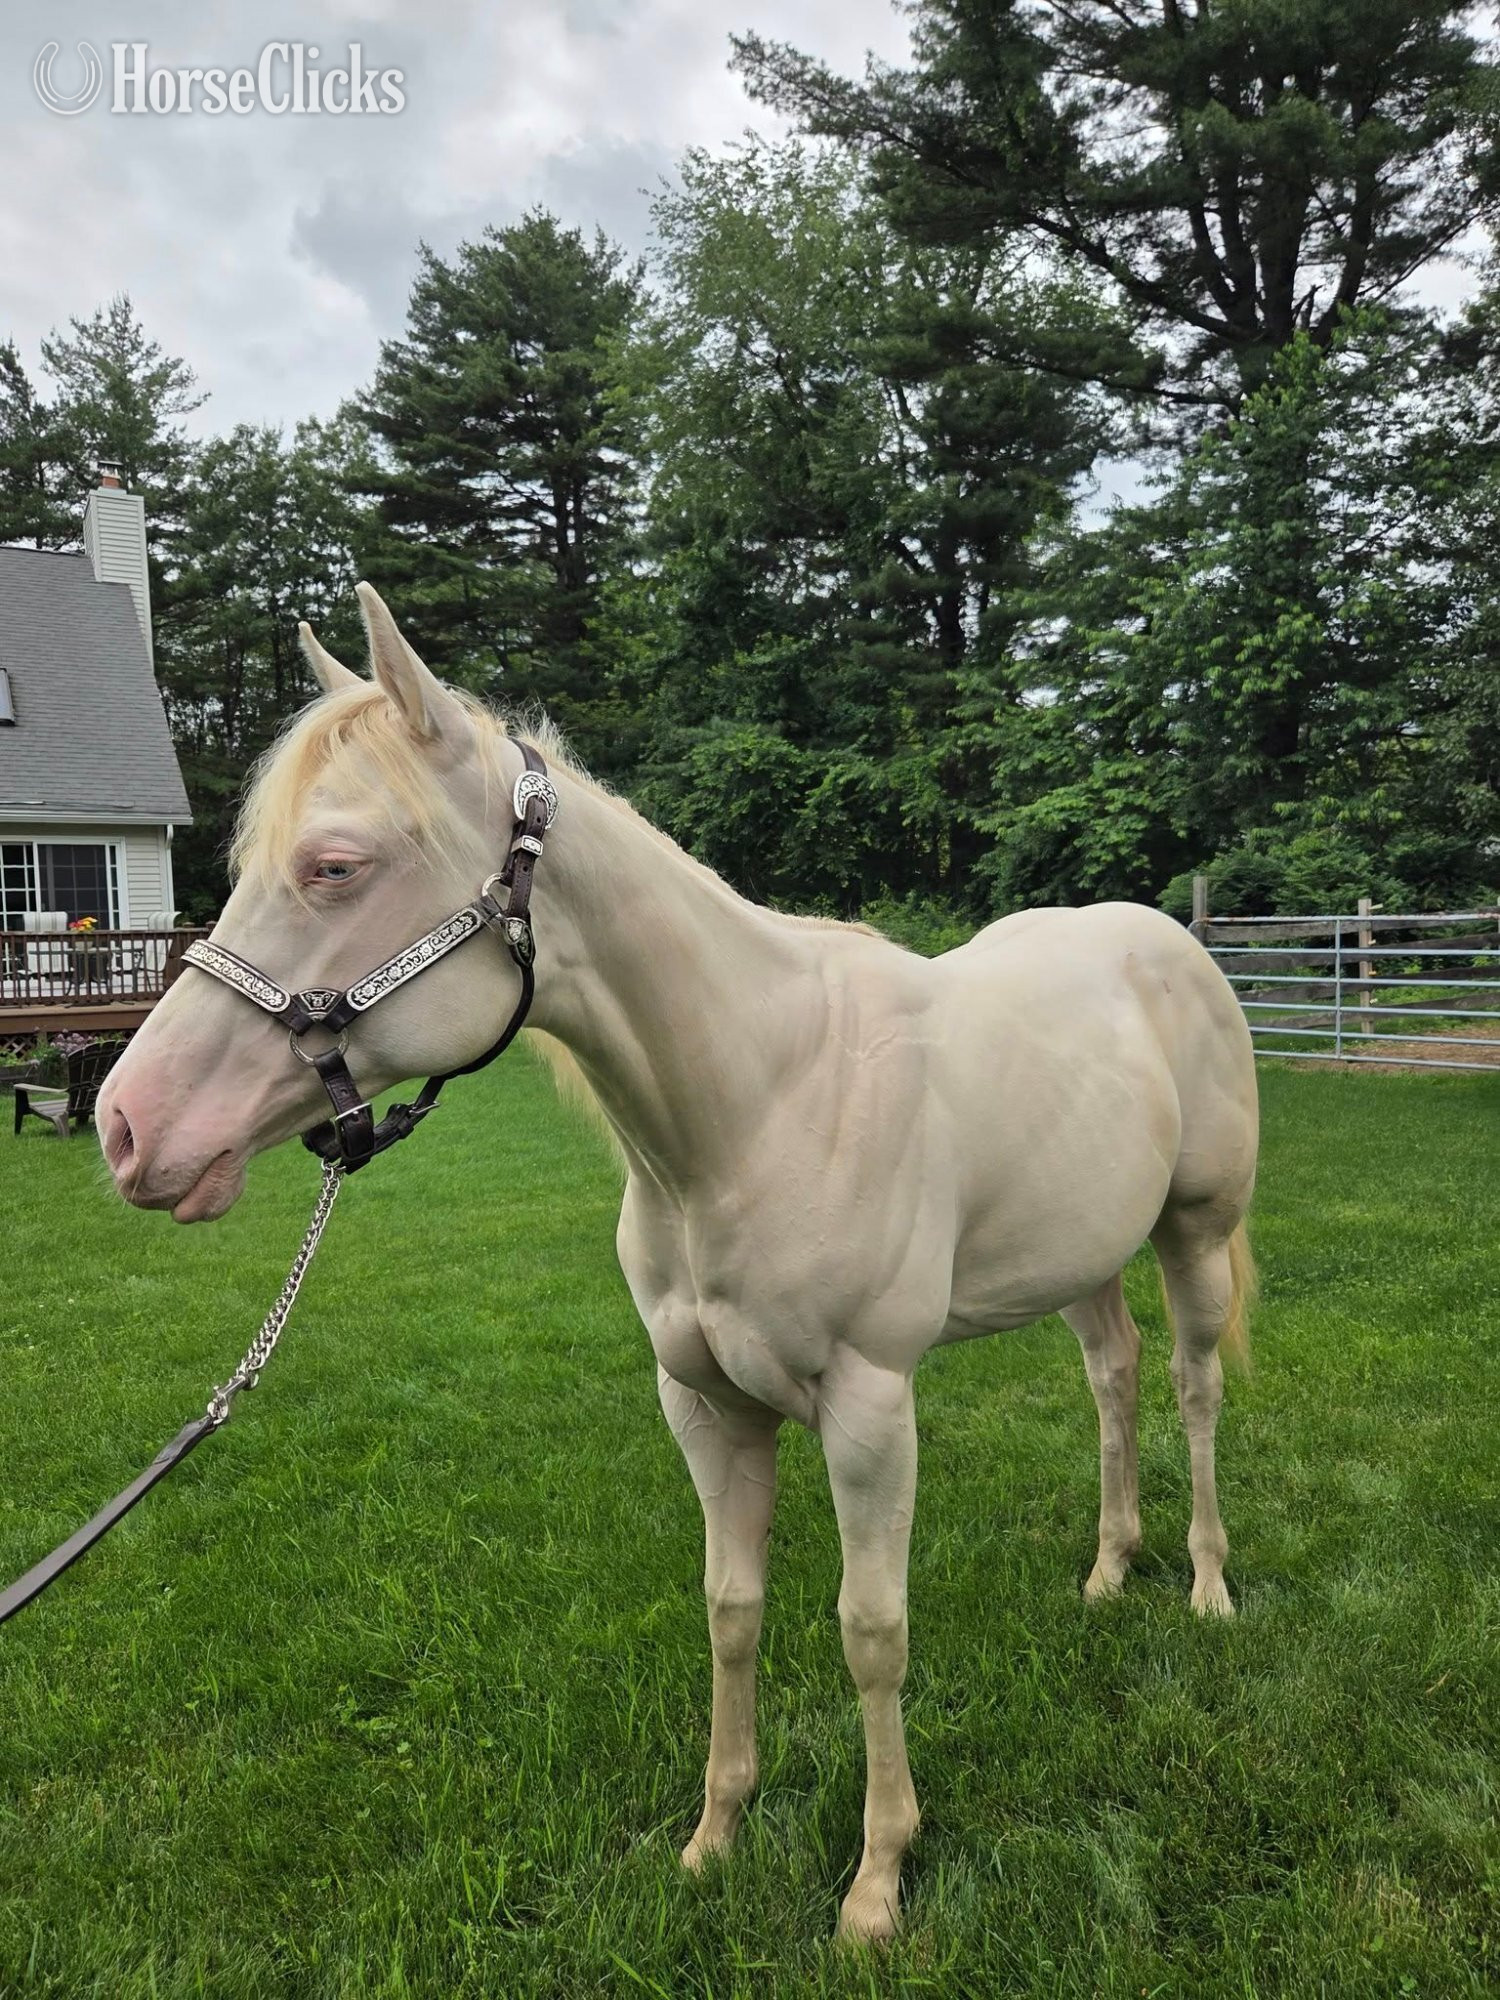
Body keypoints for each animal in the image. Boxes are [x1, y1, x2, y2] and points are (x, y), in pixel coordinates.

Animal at [97, 584, 1259, 1942]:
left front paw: (877, 1881)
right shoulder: (705, 1404)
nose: (129, 1127)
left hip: (1194, 1231)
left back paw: (1206, 1587)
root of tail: (1169, 939)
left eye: (335, 863)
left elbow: (872, 1628)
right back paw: (1110, 1568)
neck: (760, 1103)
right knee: (1113, 1377)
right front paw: (716, 1836)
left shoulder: (871, 1406)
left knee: (1190, 1386)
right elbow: (731, 1609)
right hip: (1082, 1257)